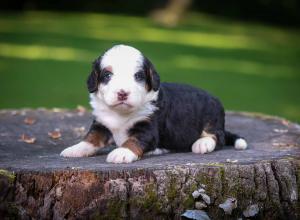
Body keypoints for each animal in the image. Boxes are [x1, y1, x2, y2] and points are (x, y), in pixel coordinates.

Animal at [59, 43, 247, 162]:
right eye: (107, 75)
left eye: (138, 76)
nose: (122, 93)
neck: (120, 114)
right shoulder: (102, 123)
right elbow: (91, 138)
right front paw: (75, 149)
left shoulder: (147, 128)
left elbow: (133, 140)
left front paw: (122, 152)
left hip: (212, 116)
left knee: (217, 136)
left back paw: (202, 143)